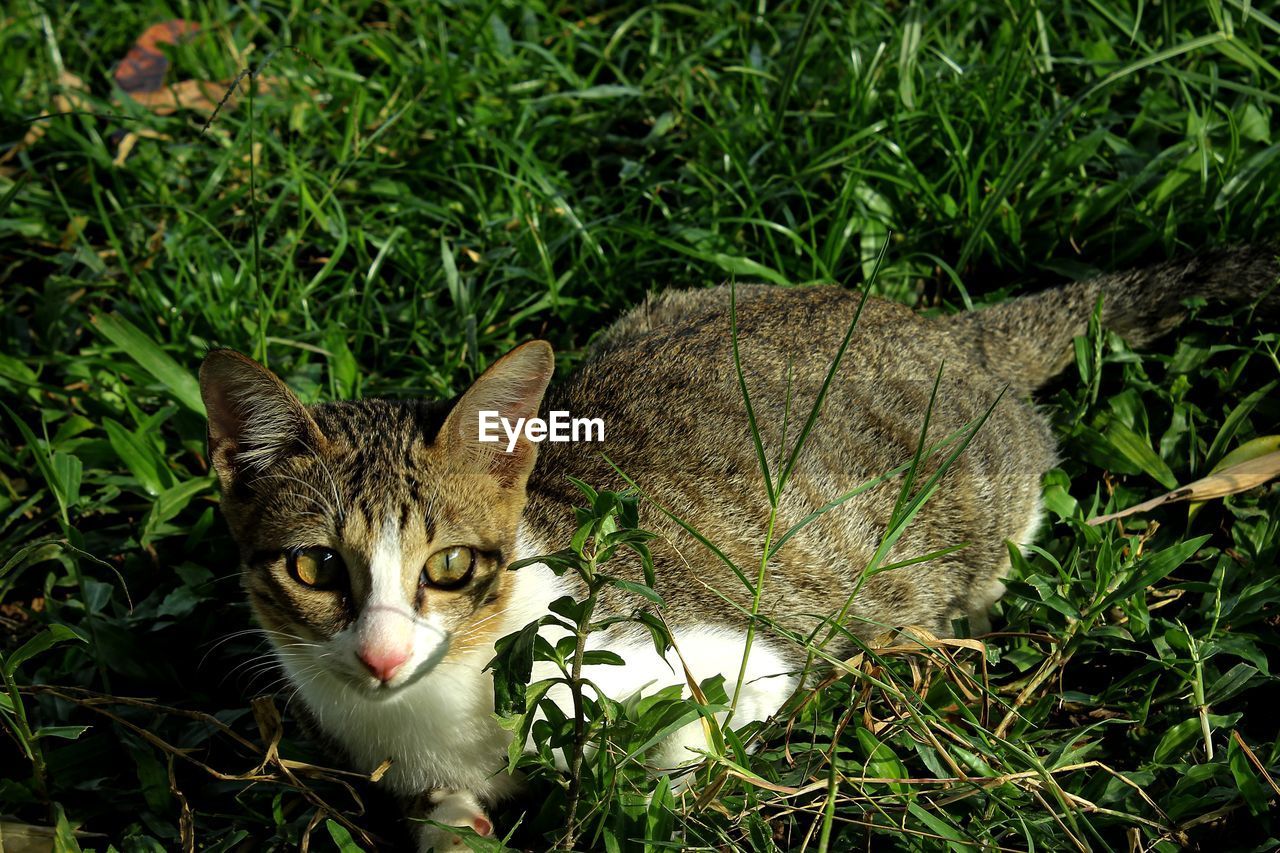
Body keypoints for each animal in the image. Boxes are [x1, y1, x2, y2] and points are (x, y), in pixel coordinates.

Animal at [199, 242, 1280, 845]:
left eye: (450, 567)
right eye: (316, 566)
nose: (384, 655)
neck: (438, 715)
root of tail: (953, 332)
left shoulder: (727, 663)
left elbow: (679, 753)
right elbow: (441, 817)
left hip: (988, 512)